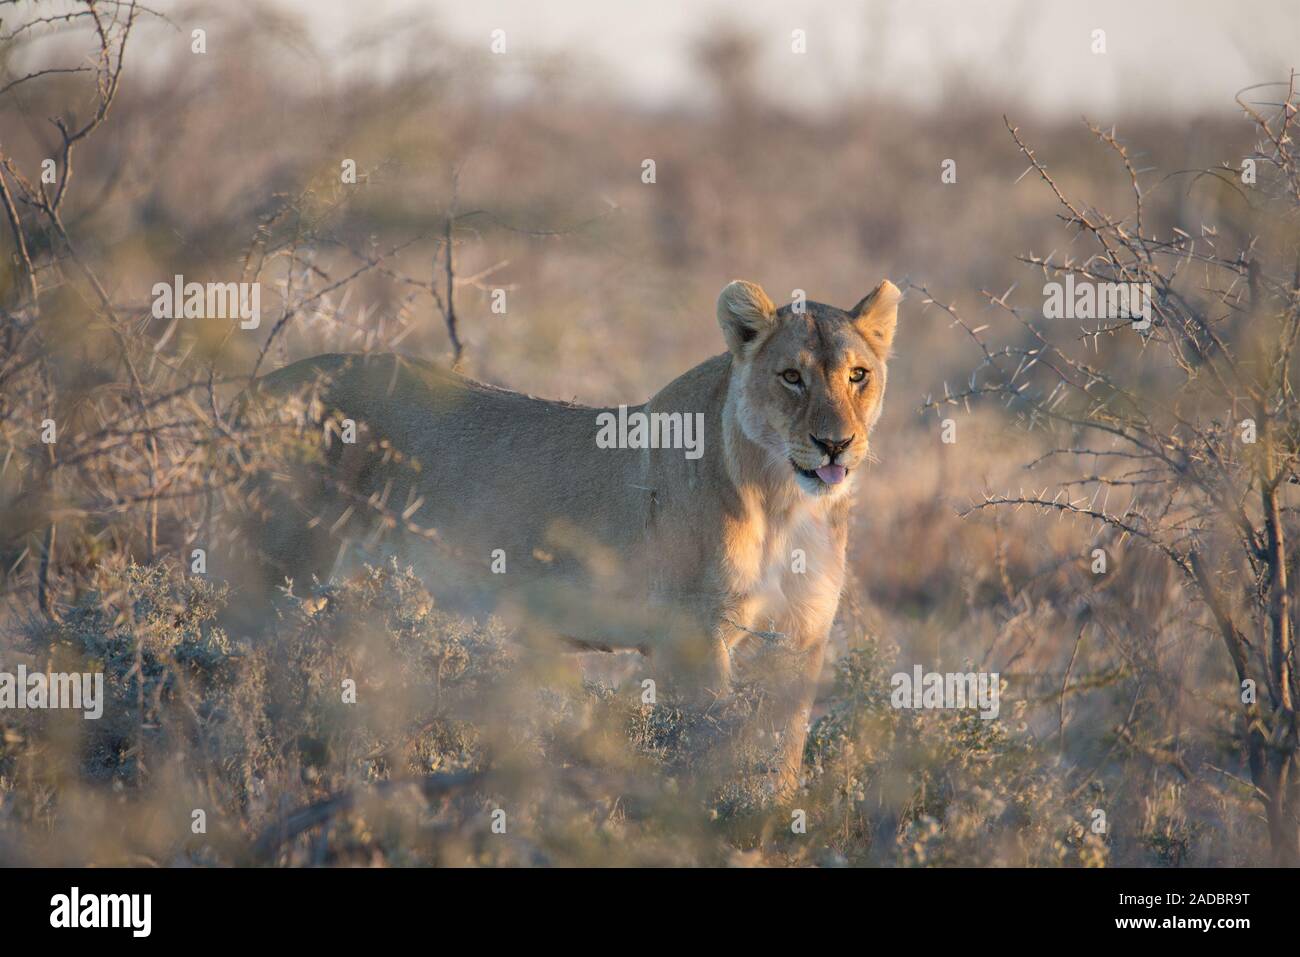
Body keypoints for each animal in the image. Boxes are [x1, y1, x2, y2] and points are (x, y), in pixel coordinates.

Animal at [253, 278, 900, 794]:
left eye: (858, 376)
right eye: (791, 377)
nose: (835, 444)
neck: (786, 505)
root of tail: (259, 386)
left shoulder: (801, 637)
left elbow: (782, 757)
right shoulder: (692, 635)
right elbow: (706, 753)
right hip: (279, 576)